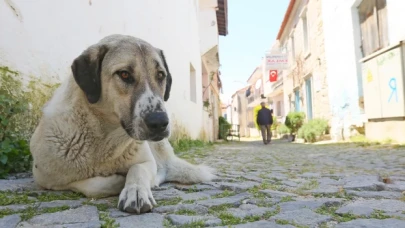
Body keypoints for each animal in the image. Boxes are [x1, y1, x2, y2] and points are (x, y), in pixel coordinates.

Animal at [29, 33, 215, 214]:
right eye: (124, 74)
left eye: (160, 75)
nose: (160, 122)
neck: (105, 140)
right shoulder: (45, 179)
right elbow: (95, 184)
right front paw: (119, 180)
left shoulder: (147, 162)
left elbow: (137, 169)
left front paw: (136, 191)